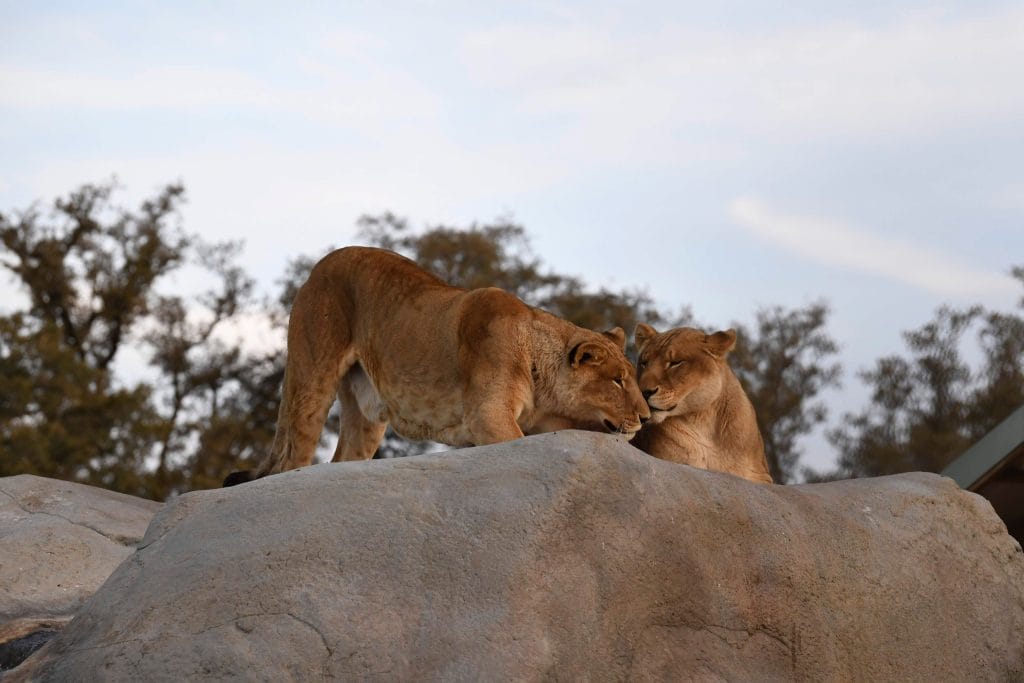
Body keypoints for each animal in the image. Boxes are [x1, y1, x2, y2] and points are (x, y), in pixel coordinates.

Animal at [224, 246, 650, 485]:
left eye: (629, 378)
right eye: (617, 381)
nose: (646, 417)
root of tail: (317, 267)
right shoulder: (487, 415)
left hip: (366, 414)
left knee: (343, 458)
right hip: (313, 375)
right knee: (291, 457)